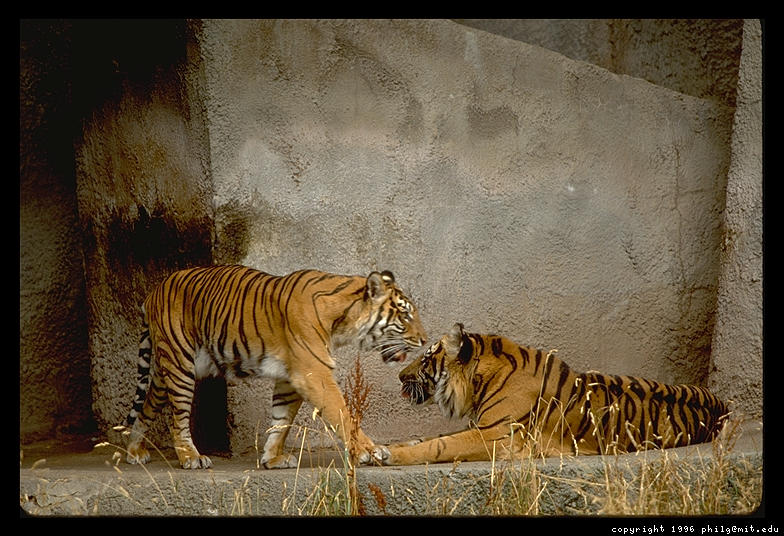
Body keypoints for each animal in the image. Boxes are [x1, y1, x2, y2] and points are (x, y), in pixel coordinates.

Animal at [123, 265, 427, 469]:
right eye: (405, 315)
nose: (424, 340)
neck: (343, 320)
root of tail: (153, 292)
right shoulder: (314, 373)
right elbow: (342, 413)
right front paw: (370, 450)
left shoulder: (290, 378)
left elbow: (281, 421)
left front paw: (272, 458)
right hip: (180, 366)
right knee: (178, 417)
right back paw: (190, 457)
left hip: (167, 369)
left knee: (147, 405)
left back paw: (135, 451)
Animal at [382, 323, 729, 466]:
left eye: (426, 358)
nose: (399, 375)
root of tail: (721, 405)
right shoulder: (480, 427)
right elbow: (430, 438)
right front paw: (389, 446)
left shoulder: (496, 436)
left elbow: (439, 445)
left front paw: (389, 456)